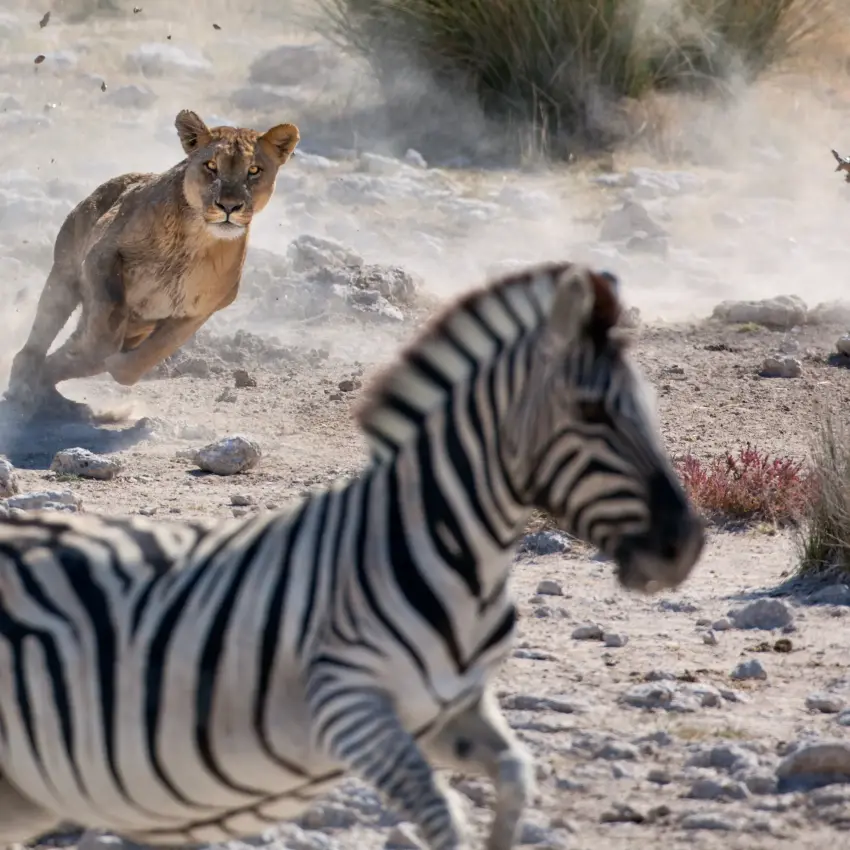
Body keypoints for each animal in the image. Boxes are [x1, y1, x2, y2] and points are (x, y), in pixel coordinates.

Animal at [0, 262, 705, 850]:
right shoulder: (348, 708)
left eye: (648, 405)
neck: (456, 556)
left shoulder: (450, 710)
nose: (685, 546)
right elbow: (444, 816)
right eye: (590, 411)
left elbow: (514, 773)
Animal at [5, 109, 300, 420]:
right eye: (211, 166)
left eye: (254, 170)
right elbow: (102, 333)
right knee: (37, 341)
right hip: (64, 275)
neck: (195, 240)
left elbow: (142, 360)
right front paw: (83, 353)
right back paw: (28, 384)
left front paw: (109, 365)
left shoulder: (200, 310)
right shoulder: (101, 255)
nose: (229, 206)